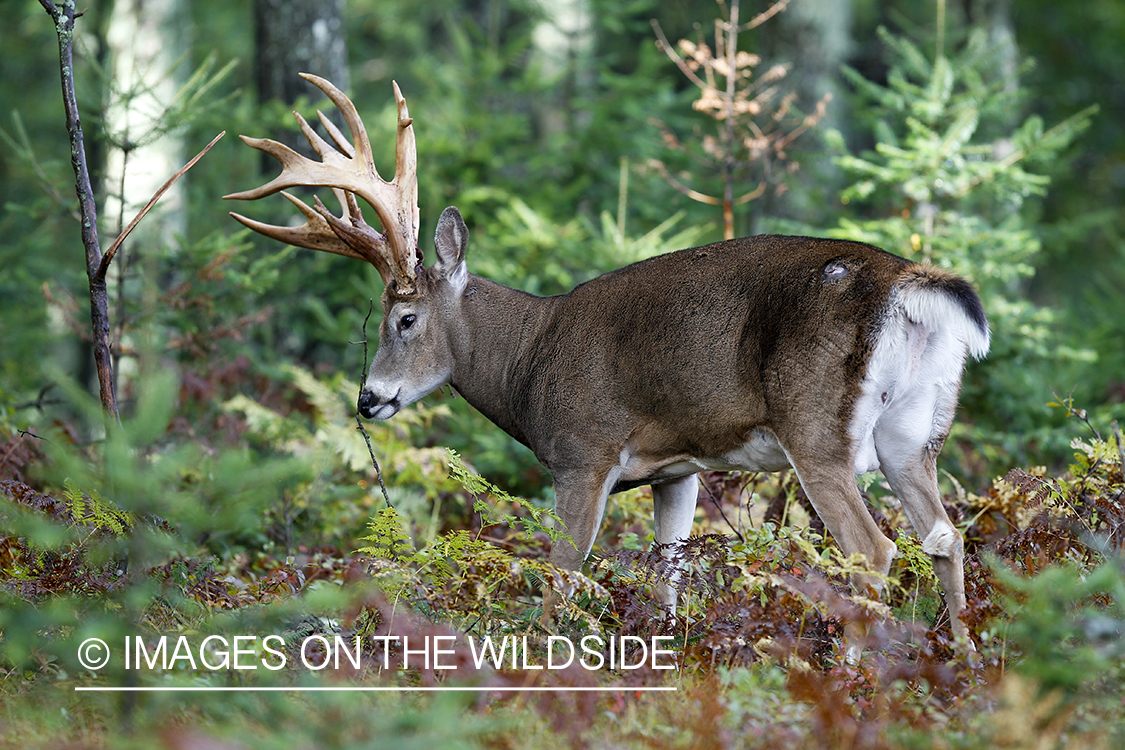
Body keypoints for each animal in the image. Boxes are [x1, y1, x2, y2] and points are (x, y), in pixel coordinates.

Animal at [226, 74, 985, 652]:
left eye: (403, 319)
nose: (368, 398)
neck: (529, 361)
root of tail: (907, 284)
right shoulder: (677, 467)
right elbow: (666, 573)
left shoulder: (582, 451)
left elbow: (562, 572)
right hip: (914, 433)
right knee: (946, 536)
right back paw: (965, 660)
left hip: (817, 426)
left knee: (875, 551)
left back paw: (856, 674)